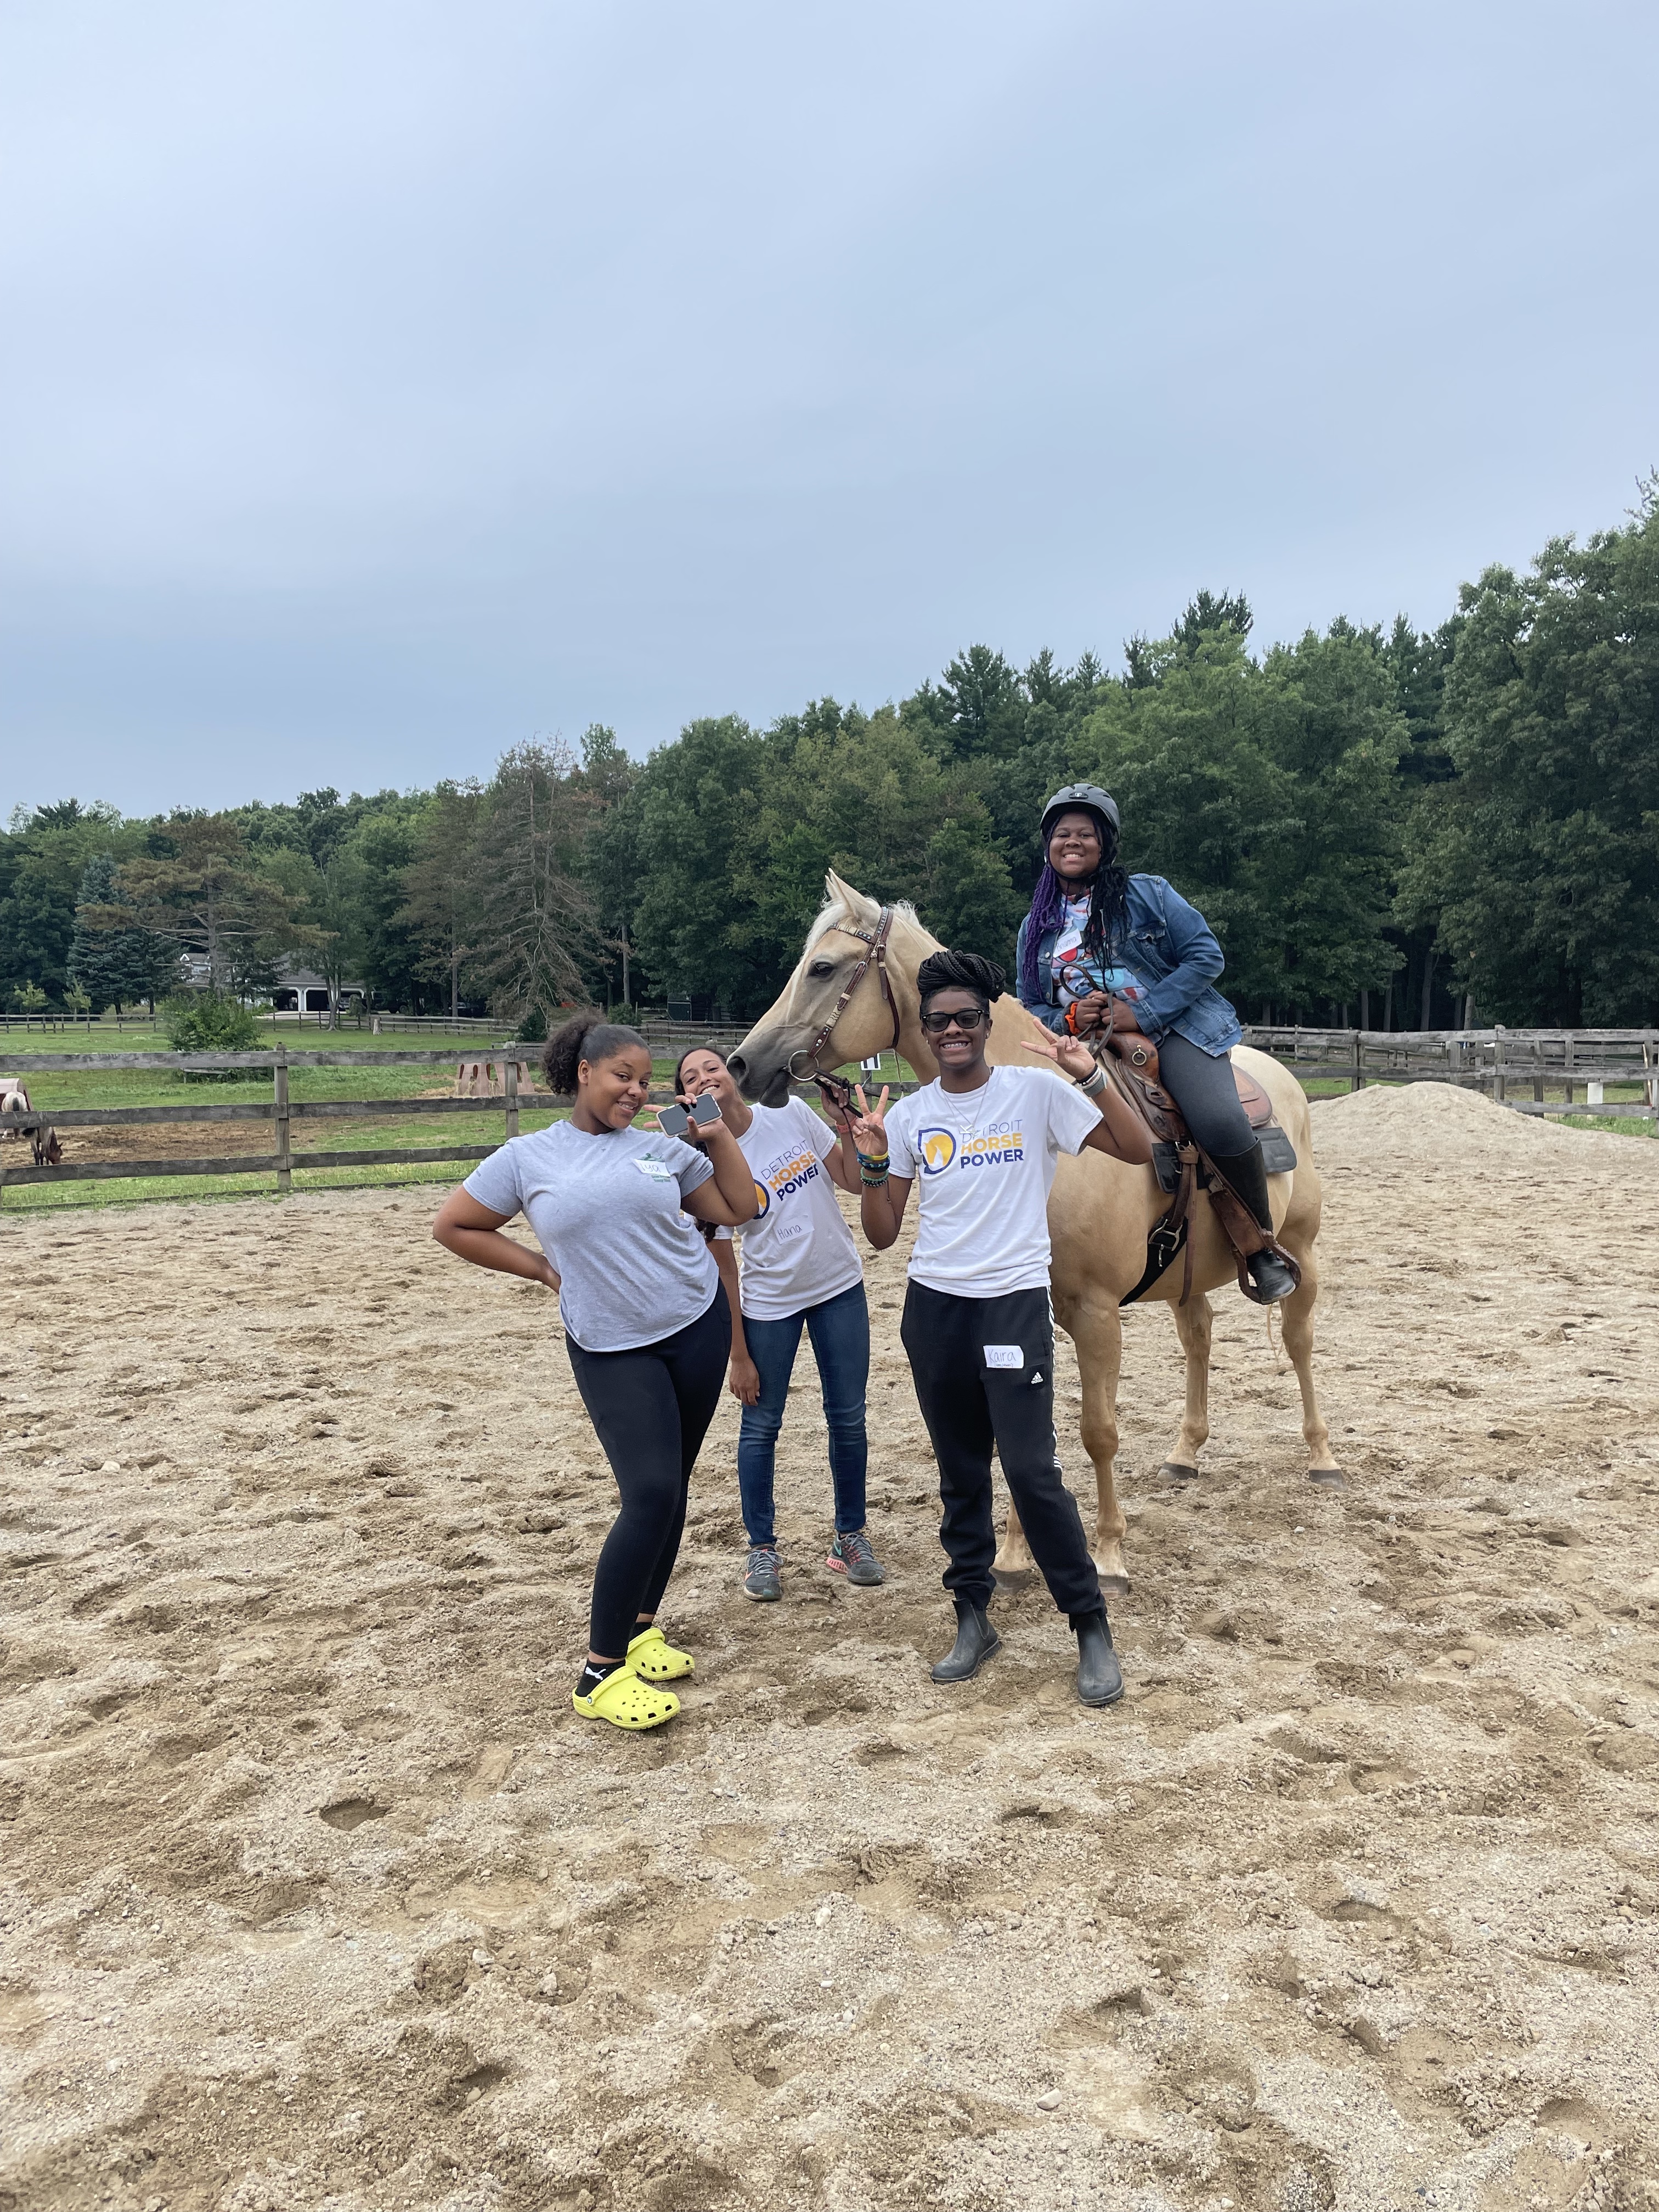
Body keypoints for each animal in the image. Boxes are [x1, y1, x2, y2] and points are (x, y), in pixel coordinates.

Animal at [734, 867, 1345, 1593]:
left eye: (822, 968)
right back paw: (1185, 1452)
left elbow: (1097, 1431)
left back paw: (1323, 1457)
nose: (742, 1065)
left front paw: (1108, 1554)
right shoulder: (1034, 1311)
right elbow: (1027, 1431)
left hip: (1300, 1250)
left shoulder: (1096, 1311)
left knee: (1301, 1343)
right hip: (1187, 1274)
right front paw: (1014, 1555)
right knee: (1199, 1339)